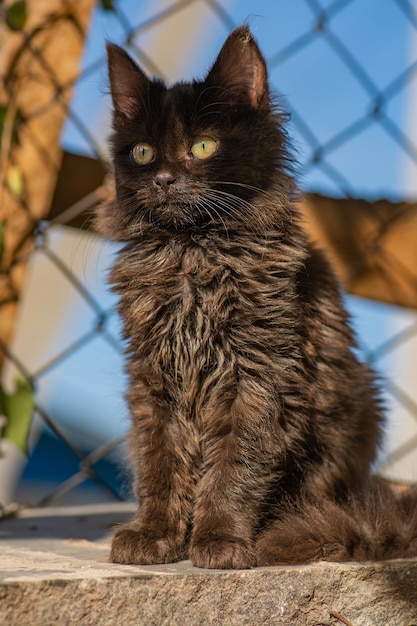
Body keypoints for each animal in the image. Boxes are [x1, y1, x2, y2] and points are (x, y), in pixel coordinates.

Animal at [96, 26, 416, 568]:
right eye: (142, 153)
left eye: (203, 146)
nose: (163, 180)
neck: (193, 256)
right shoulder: (153, 379)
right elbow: (160, 462)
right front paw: (154, 533)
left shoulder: (259, 377)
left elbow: (236, 465)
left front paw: (220, 540)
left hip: (359, 408)